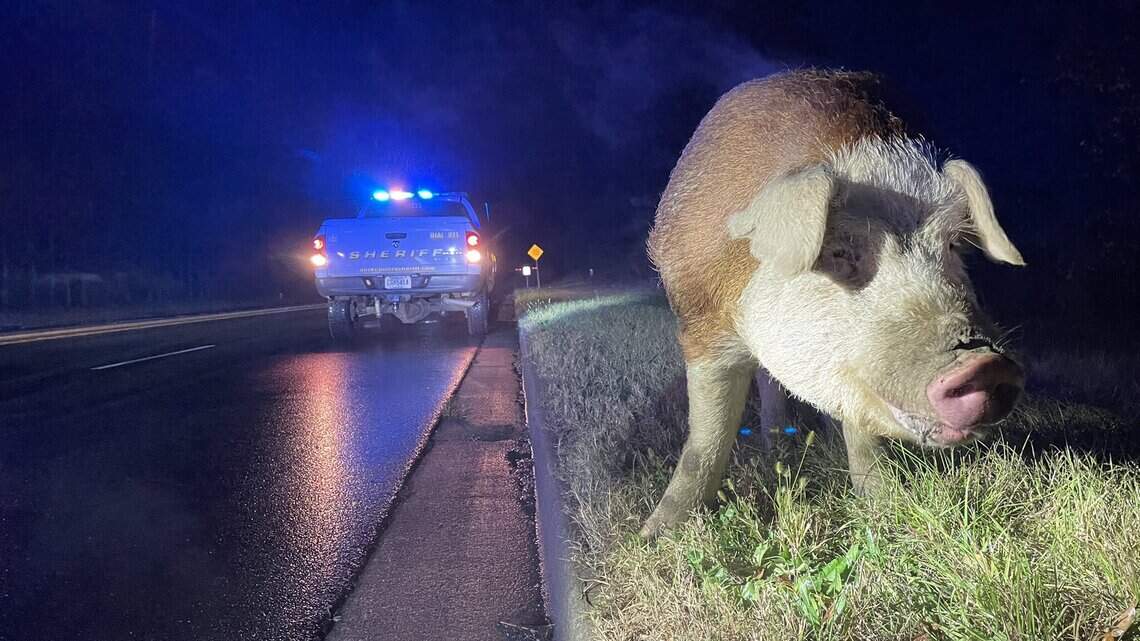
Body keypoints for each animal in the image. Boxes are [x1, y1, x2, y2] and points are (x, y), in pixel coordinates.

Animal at [642, 70, 1026, 537]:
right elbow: (707, 438)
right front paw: (654, 537)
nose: (984, 363)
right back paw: (776, 446)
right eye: (840, 252)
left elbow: (860, 429)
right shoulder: (701, 324)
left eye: (952, 245)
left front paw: (884, 505)